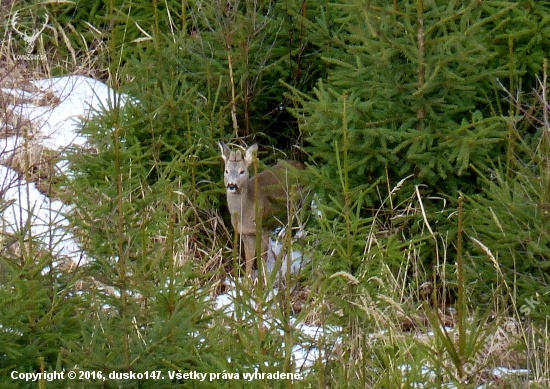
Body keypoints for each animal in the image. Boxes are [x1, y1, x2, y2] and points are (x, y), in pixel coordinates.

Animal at [220, 140, 304, 272]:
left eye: (242, 171)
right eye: (226, 171)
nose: (231, 185)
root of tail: (302, 166)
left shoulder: (263, 227)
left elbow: (262, 256)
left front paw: (264, 275)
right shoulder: (245, 233)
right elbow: (249, 258)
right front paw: (247, 277)